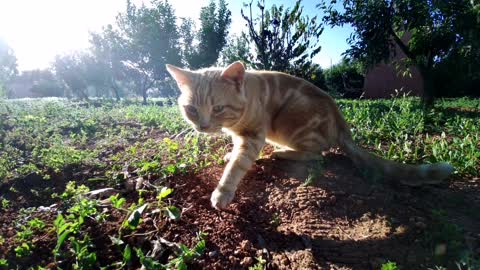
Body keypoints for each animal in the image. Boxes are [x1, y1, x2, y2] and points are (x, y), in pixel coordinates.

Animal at [166, 62, 454, 210]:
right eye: (191, 110)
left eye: (218, 108)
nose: (202, 127)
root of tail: (341, 122)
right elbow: (235, 153)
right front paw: (228, 153)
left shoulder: (254, 136)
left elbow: (237, 165)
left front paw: (223, 191)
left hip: (290, 122)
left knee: (318, 155)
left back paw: (281, 153)